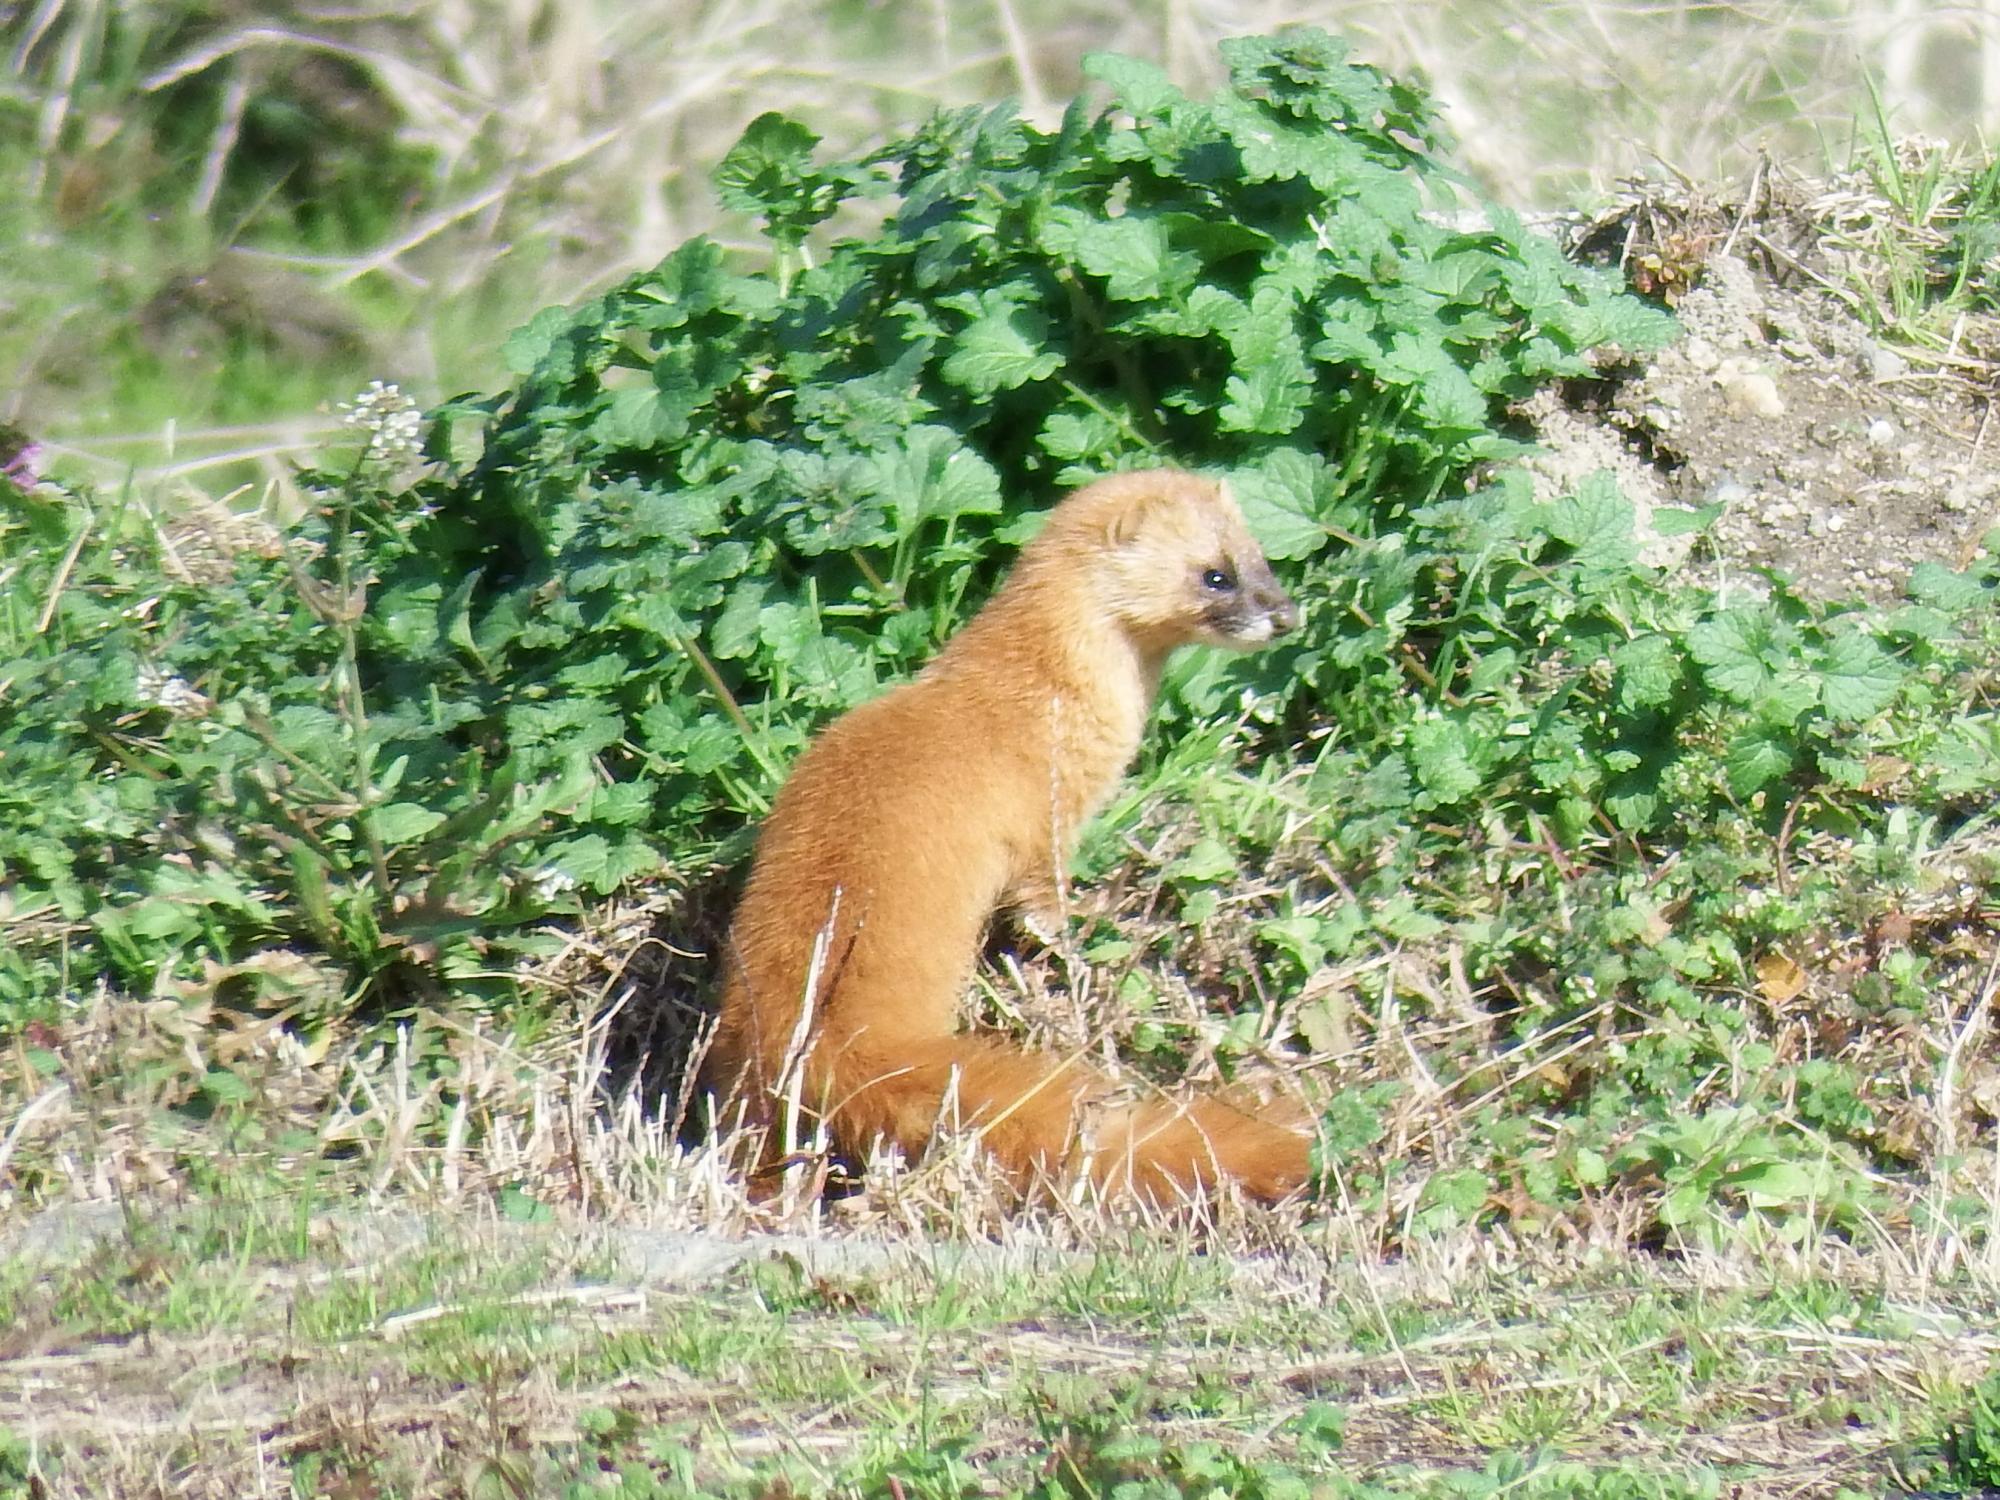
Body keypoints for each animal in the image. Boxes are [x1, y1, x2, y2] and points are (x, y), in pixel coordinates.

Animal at [705, 468, 1316, 1204]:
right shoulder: (1051, 814)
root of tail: (826, 1044)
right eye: (1216, 575)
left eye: (1263, 557)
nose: (1286, 616)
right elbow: (1042, 900)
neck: (1037, 687)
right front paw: (1077, 937)